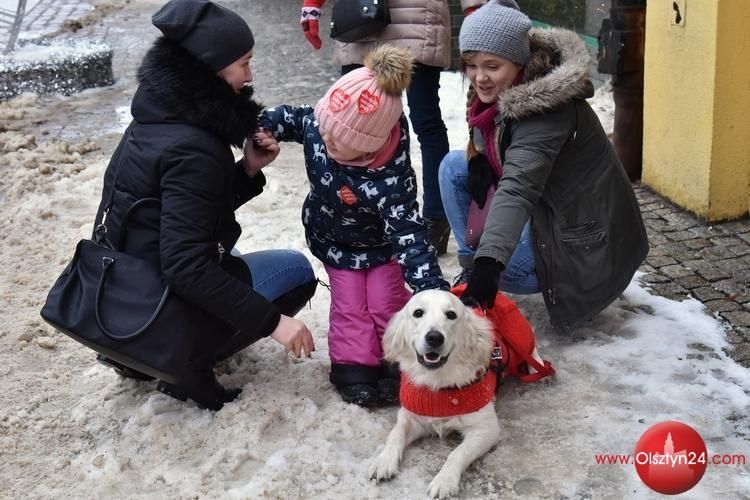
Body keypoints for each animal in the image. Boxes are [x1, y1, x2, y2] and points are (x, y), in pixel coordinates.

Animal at [372, 292, 548, 498]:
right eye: (418, 313)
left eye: (451, 314)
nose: (434, 337)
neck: (439, 383)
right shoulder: (411, 417)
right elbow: (395, 434)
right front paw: (383, 461)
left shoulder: (486, 429)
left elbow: (457, 453)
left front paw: (444, 481)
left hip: (520, 336)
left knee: (532, 350)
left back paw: (537, 368)